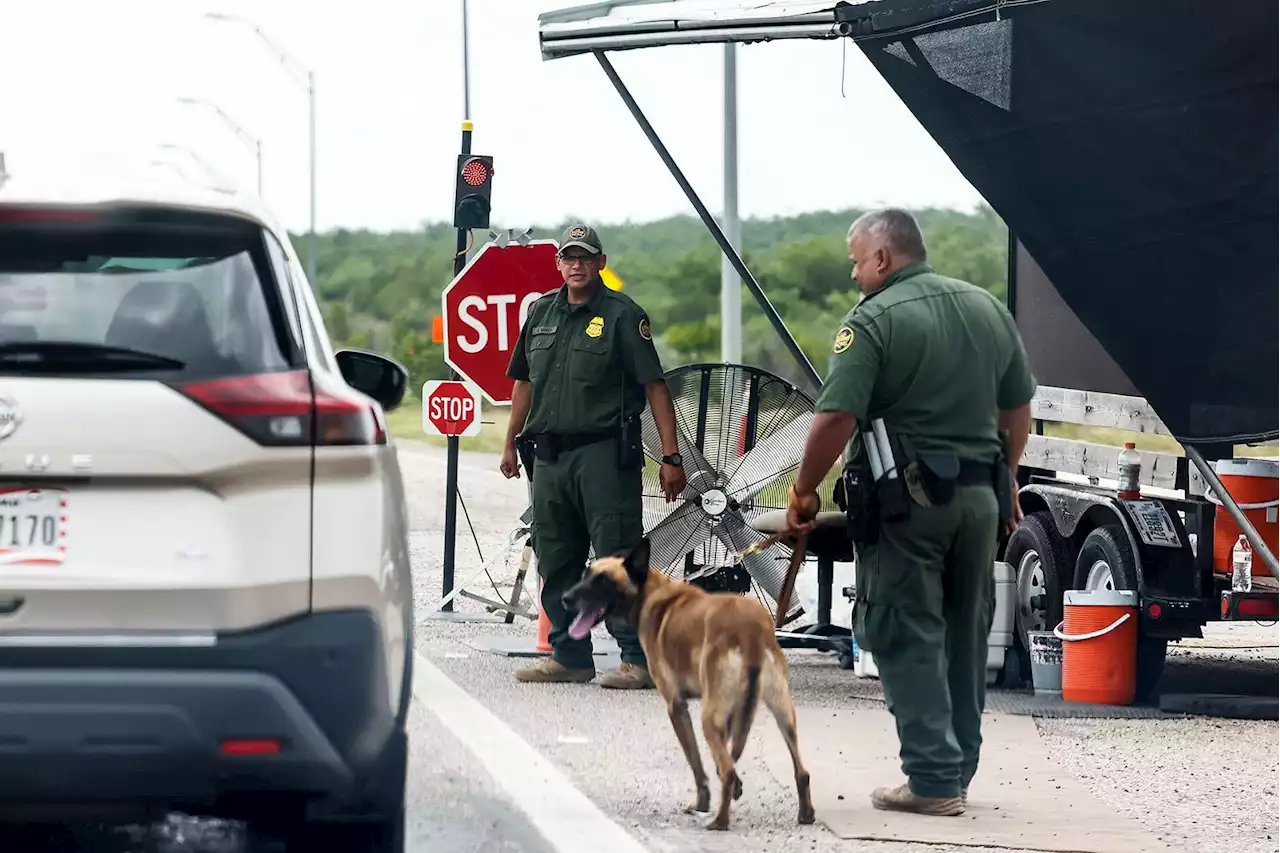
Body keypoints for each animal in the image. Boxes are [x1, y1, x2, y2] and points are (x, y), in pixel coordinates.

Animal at [563, 535, 819, 824]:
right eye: (586, 575)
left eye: (603, 581)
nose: (565, 598)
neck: (650, 592)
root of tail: (750, 631)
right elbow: (723, 755)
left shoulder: (676, 706)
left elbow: (696, 761)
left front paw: (702, 802)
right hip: (782, 712)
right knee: (800, 771)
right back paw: (805, 814)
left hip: (709, 718)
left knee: (728, 771)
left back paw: (719, 822)